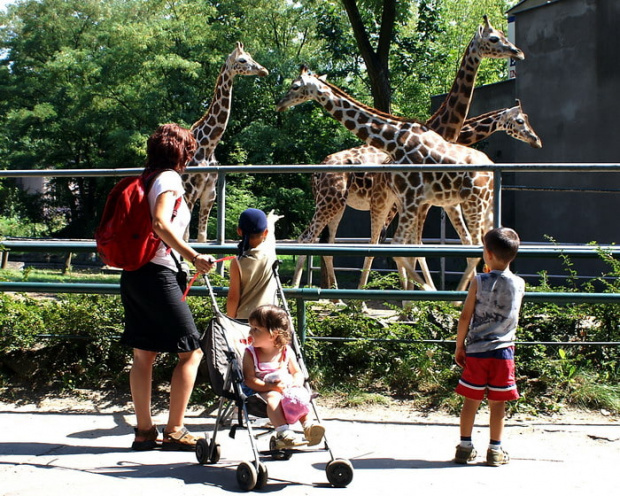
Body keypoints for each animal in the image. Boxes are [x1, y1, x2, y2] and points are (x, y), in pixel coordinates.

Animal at [179, 42, 266, 242]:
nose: (263, 70)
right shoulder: (190, 192)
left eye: (251, 56)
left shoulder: (209, 194)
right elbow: (186, 237)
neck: (208, 146)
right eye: (242, 60)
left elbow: (201, 236)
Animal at [294, 99, 540, 288]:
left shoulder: (426, 204)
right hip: (332, 202)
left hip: (336, 204)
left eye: (527, 119)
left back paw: (336, 296)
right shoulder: (418, 204)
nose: (536, 140)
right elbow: (409, 247)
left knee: (325, 242)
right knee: (307, 238)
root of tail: (317, 170)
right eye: (520, 121)